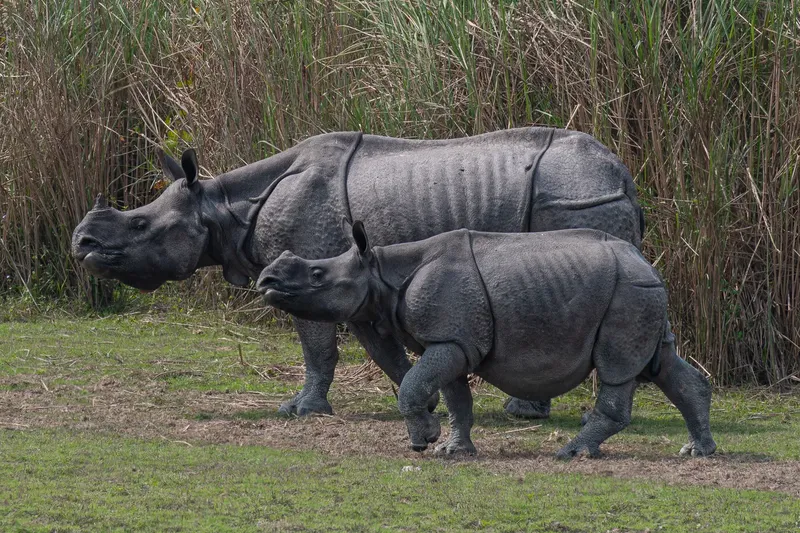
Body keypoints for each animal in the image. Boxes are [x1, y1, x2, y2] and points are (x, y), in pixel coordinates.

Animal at [71, 127, 643, 419]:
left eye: (139, 224)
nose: (82, 244)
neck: (223, 206)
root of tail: (622, 174)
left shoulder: (308, 263)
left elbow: (316, 349)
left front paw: (300, 411)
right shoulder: (347, 280)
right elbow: (375, 349)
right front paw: (420, 400)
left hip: (574, 199)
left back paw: (524, 412)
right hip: (584, 195)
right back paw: (525, 411)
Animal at [257, 222, 717, 459]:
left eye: (318, 274)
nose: (266, 280)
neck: (382, 270)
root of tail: (646, 261)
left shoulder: (451, 339)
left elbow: (413, 386)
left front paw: (422, 441)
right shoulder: (452, 341)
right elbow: (455, 398)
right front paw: (452, 450)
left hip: (627, 293)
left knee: (617, 369)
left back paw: (572, 453)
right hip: (639, 290)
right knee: (661, 363)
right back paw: (698, 451)